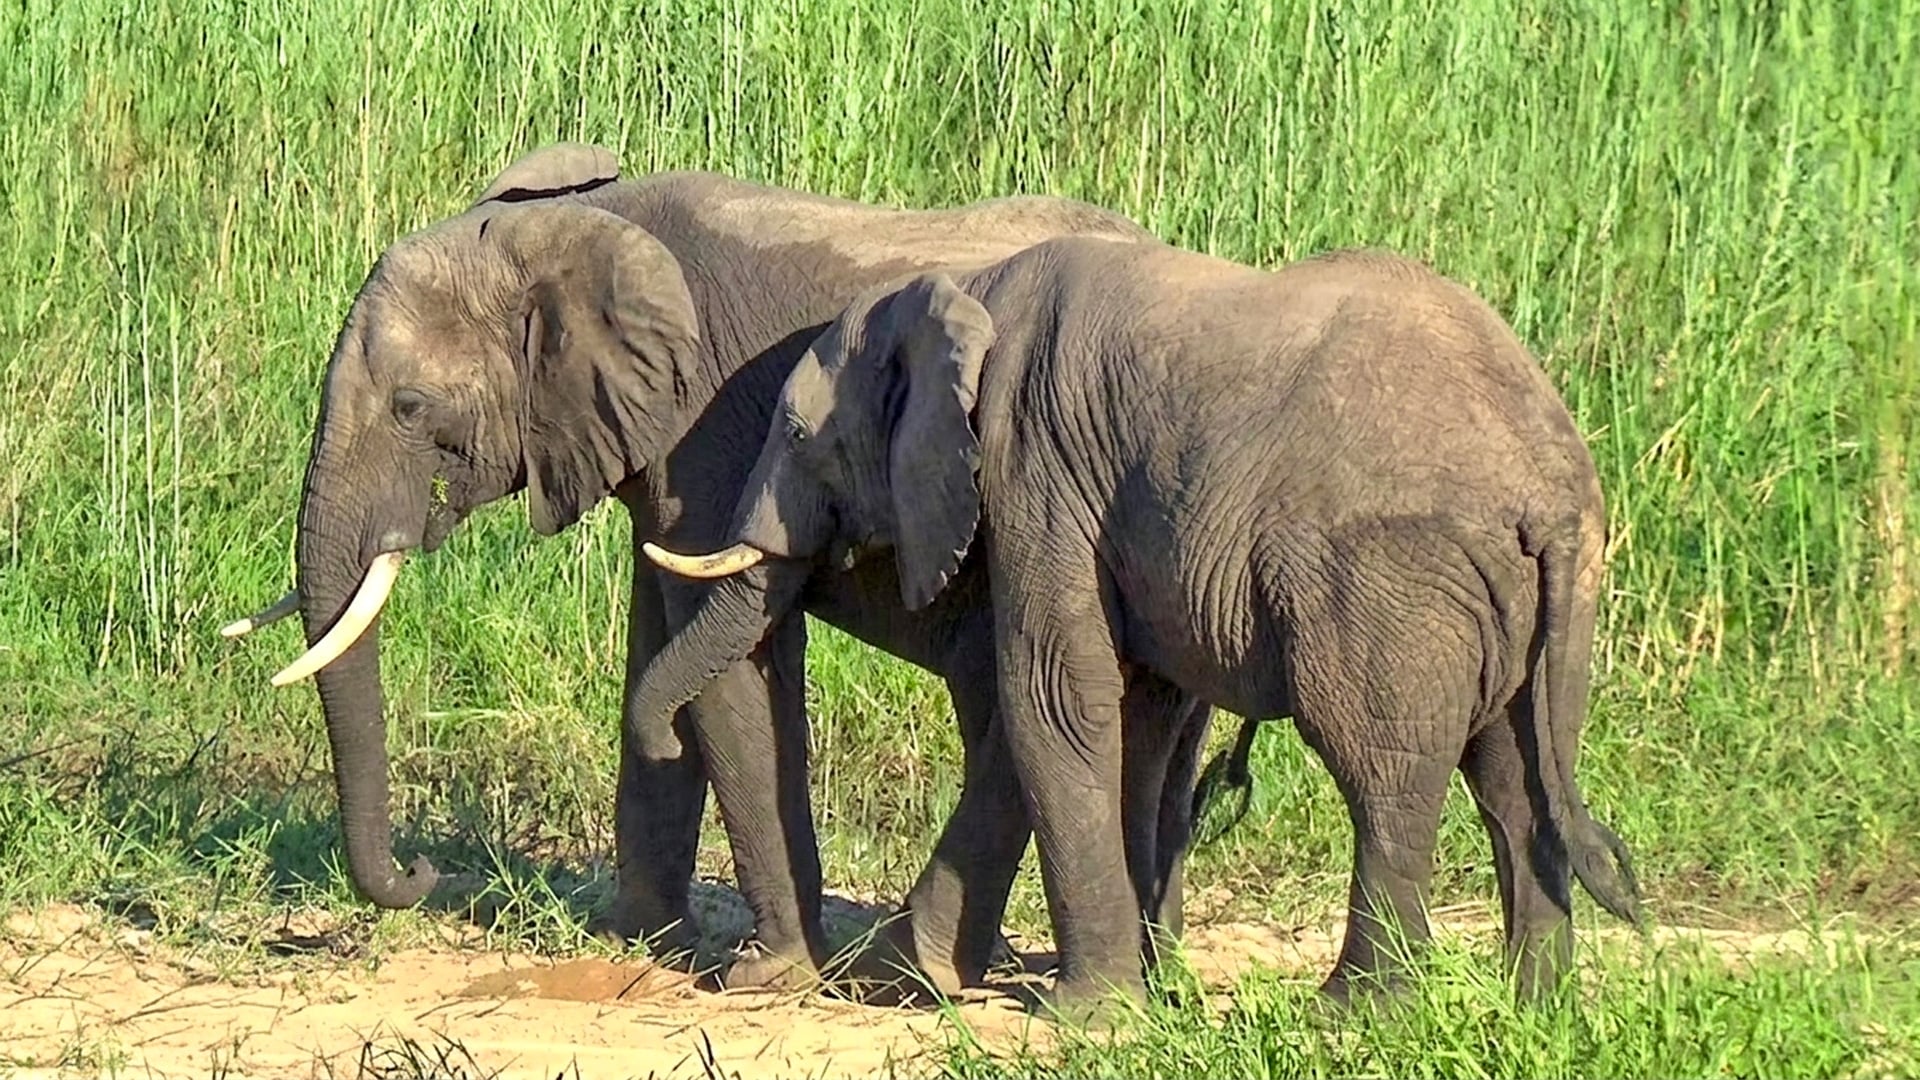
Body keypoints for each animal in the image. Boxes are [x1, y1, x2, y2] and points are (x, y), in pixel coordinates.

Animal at [218, 142, 1210, 990]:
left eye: (412, 407)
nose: (424, 872)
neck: (579, 228)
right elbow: (656, 634)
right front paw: (637, 940)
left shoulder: (710, 427)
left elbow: (728, 664)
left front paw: (766, 977)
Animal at [642, 234, 1645, 1016]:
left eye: (795, 435)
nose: (658, 744)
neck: (968, 291)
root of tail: (1549, 484)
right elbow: (1136, 713)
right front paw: (1124, 993)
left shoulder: (1033, 466)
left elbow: (1055, 696)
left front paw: (1067, 1009)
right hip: (1541, 602)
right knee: (1513, 777)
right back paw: (1537, 1009)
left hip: (1390, 583)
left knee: (1384, 774)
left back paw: (1358, 1012)